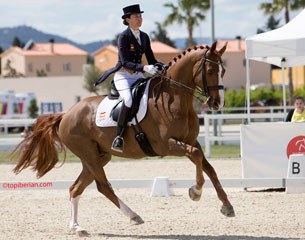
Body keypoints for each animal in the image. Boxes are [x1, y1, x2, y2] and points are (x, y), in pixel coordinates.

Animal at [11, 41, 234, 236]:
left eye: (223, 71)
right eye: (211, 71)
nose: (217, 104)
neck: (174, 99)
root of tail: (66, 114)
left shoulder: (190, 141)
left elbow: (208, 166)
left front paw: (227, 206)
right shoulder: (166, 145)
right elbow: (197, 157)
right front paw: (195, 192)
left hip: (99, 156)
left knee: (76, 188)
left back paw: (78, 228)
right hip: (89, 154)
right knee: (103, 186)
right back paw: (134, 216)